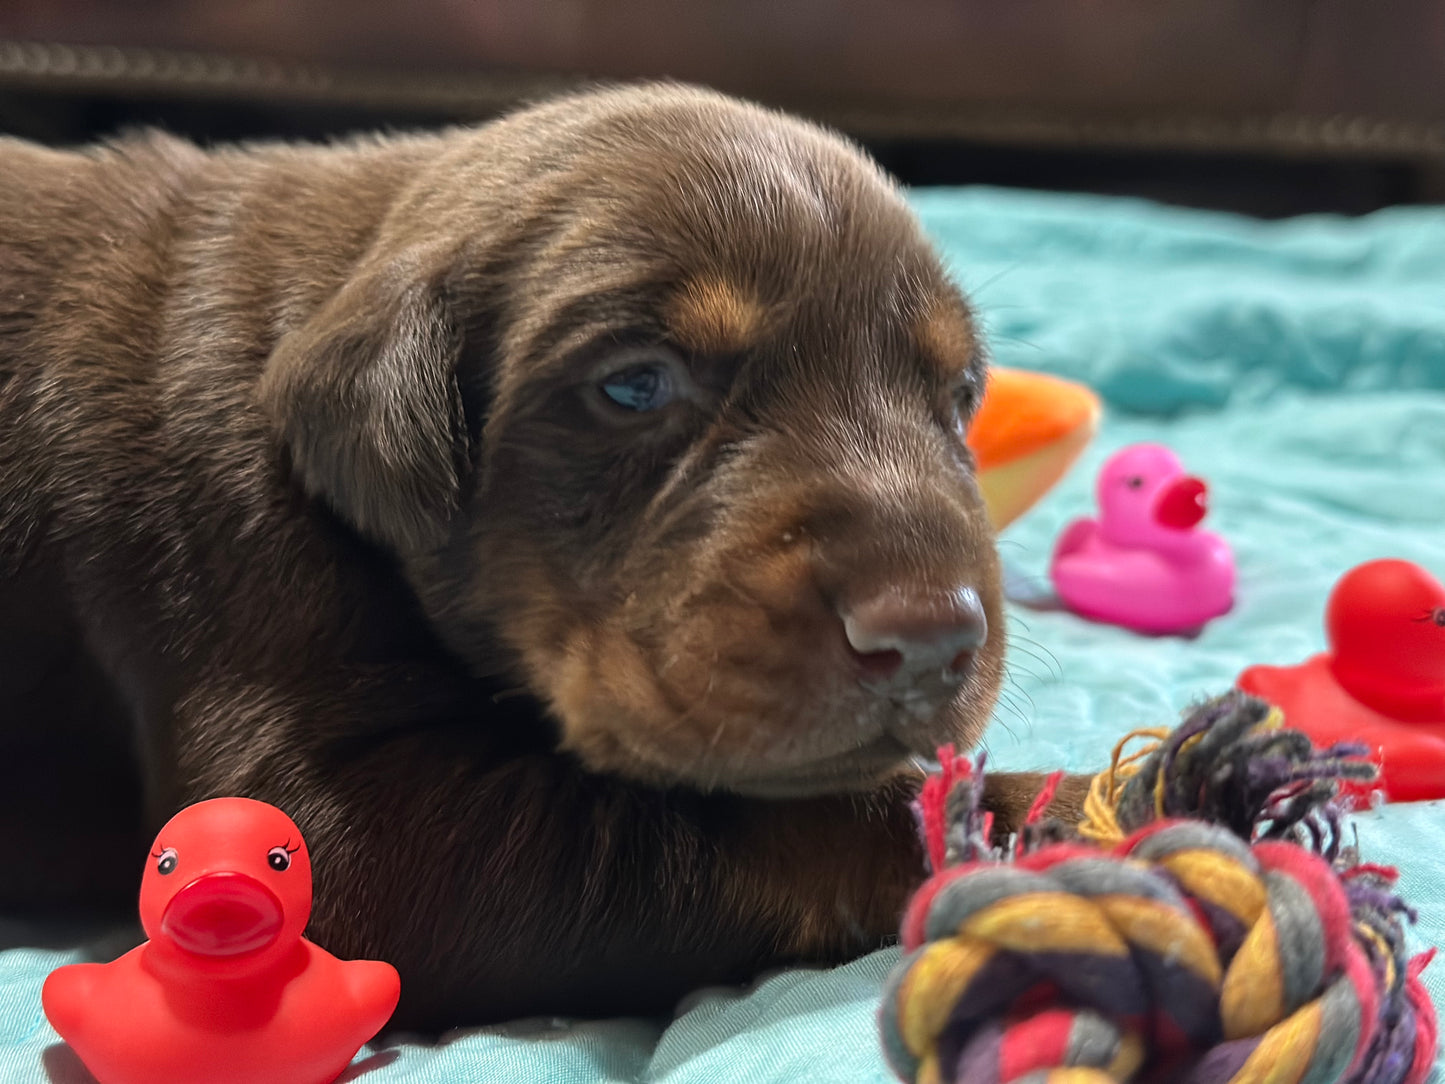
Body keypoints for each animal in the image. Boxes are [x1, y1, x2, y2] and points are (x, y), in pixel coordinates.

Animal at [0, 82, 1086, 1029]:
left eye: (959, 397)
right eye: (635, 386)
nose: (932, 638)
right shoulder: (334, 816)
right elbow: (766, 818)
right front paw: (1076, 815)